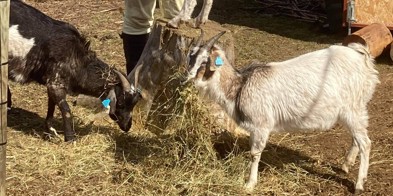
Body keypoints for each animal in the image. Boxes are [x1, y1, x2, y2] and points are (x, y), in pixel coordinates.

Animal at [184, 31, 380, 194]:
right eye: (190, 57)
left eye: (205, 61)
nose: (187, 77)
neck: (240, 87)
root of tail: (364, 60)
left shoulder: (261, 125)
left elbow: (255, 154)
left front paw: (250, 184)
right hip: (357, 109)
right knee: (358, 139)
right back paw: (346, 165)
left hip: (352, 108)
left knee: (366, 143)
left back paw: (359, 184)